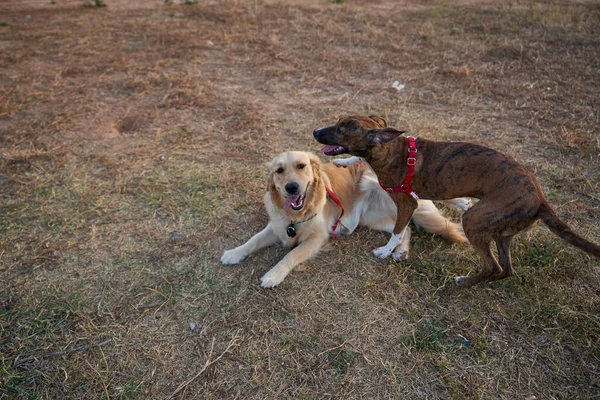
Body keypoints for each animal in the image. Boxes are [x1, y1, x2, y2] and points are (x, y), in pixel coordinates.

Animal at [314, 114, 600, 286]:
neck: (393, 150)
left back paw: (464, 281)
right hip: (502, 233)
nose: (315, 131)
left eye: (340, 130)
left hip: (474, 220)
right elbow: (362, 162)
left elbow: (397, 231)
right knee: (506, 269)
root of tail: (540, 199)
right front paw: (344, 161)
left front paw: (385, 251)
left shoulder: (407, 204)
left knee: (492, 264)